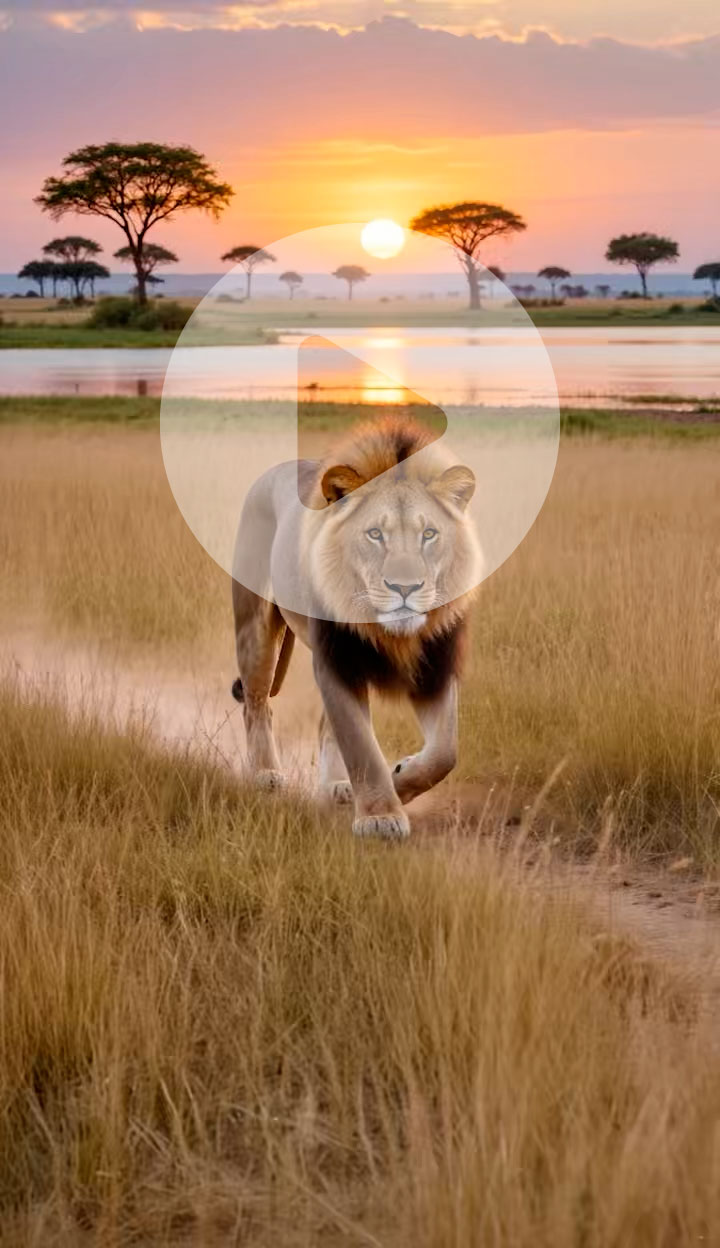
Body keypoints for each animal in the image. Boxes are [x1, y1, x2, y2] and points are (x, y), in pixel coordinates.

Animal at [231, 415, 482, 839]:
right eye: (374, 534)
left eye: (429, 534)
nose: (405, 587)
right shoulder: (338, 657)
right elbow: (360, 745)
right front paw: (380, 816)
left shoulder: (435, 663)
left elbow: (445, 752)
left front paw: (400, 779)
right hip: (256, 628)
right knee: (257, 705)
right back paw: (265, 773)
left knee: (322, 723)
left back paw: (337, 785)